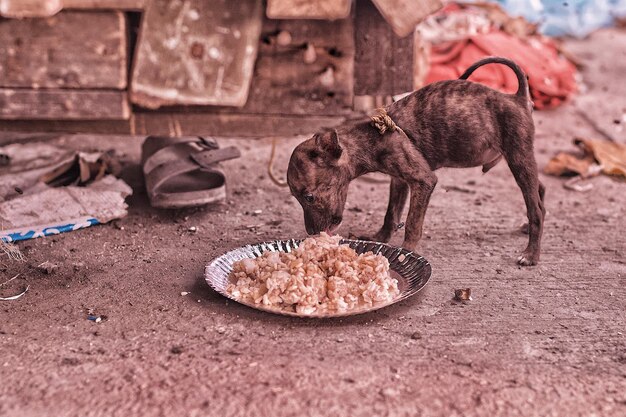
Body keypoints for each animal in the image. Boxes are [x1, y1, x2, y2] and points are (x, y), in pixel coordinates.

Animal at [286, 57, 544, 264]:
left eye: (309, 197)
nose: (311, 232)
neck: (372, 136)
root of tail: (518, 98)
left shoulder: (423, 181)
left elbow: (411, 222)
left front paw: (407, 251)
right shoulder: (399, 180)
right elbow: (391, 214)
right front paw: (379, 238)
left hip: (518, 157)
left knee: (536, 210)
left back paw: (530, 254)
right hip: (521, 160)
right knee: (539, 189)